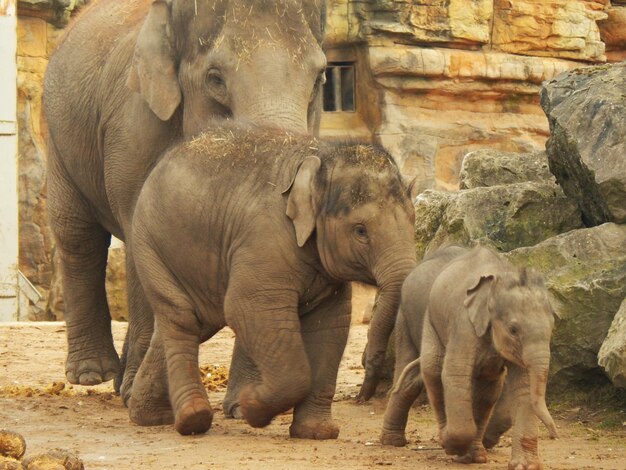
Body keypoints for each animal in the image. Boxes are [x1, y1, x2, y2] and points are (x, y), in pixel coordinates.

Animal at [42, 0, 326, 400]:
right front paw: (136, 392)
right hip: (59, 137)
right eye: (215, 79)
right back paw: (92, 375)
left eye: (320, 79)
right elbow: (143, 230)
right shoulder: (133, 130)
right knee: (78, 236)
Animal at [127, 124, 416, 436]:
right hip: (149, 245)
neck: (320, 157)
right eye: (361, 231)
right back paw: (193, 420)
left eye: (414, 220)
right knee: (182, 319)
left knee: (193, 322)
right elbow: (247, 307)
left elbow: (331, 324)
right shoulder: (264, 240)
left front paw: (316, 433)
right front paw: (251, 407)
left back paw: (150, 417)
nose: (364, 392)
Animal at [380, 246, 556, 470]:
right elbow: (455, 374)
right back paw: (398, 441)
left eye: (552, 327)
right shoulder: (463, 324)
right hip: (414, 319)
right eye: (513, 330)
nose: (554, 435)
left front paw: (525, 466)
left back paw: (474, 456)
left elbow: (520, 387)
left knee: (485, 388)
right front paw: (450, 446)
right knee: (430, 370)